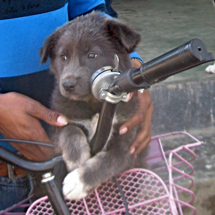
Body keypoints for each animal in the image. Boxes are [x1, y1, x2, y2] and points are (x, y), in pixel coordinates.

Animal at [40, 11, 148, 200]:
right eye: (63, 57)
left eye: (92, 55)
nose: (67, 85)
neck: (96, 102)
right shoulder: (58, 127)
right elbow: (69, 130)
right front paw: (77, 158)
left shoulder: (127, 145)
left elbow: (107, 161)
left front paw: (77, 182)